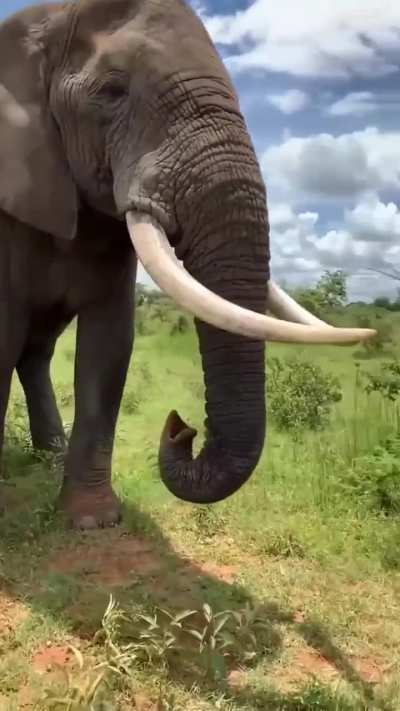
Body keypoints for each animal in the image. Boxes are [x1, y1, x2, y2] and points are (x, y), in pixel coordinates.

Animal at [0, 0, 374, 529]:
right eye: (111, 92)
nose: (181, 427)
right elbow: (3, 333)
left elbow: (108, 345)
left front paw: (93, 522)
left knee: (35, 352)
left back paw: (49, 456)